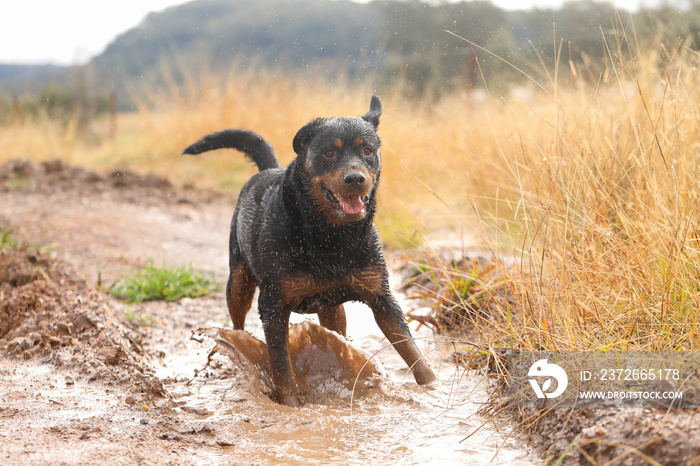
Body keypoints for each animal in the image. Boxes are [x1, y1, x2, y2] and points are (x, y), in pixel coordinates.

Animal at [185, 96, 438, 406]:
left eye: (367, 150)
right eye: (329, 152)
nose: (355, 178)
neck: (331, 237)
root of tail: (266, 170)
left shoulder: (382, 298)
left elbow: (412, 352)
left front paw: (433, 388)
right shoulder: (273, 306)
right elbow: (283, 369)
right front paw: (291, 407)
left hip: (333, 310)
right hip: (238, 281)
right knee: (238, 324)